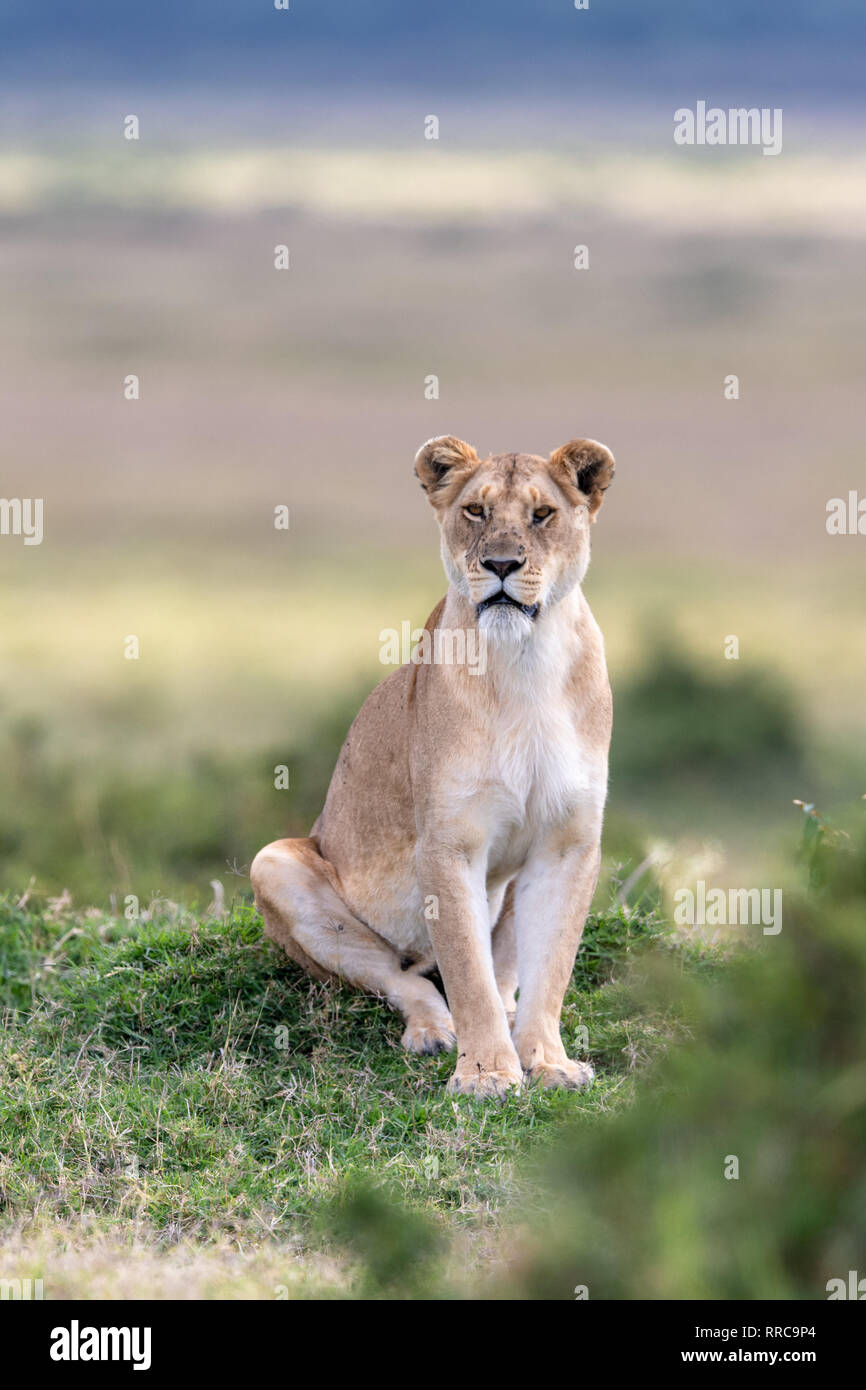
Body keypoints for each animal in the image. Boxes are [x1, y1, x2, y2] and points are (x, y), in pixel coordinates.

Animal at [251, 435, 615, 1098]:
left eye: (542, 514)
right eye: (475, 510)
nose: (501, 564)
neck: (525, 663)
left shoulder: (568, 844)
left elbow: (549, 968)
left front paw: (548, 1063)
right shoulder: (447, 844)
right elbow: (466, 972)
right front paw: (486, 1075)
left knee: (504, 979)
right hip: (276, 866)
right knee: (408, 980)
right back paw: (433, 1034)